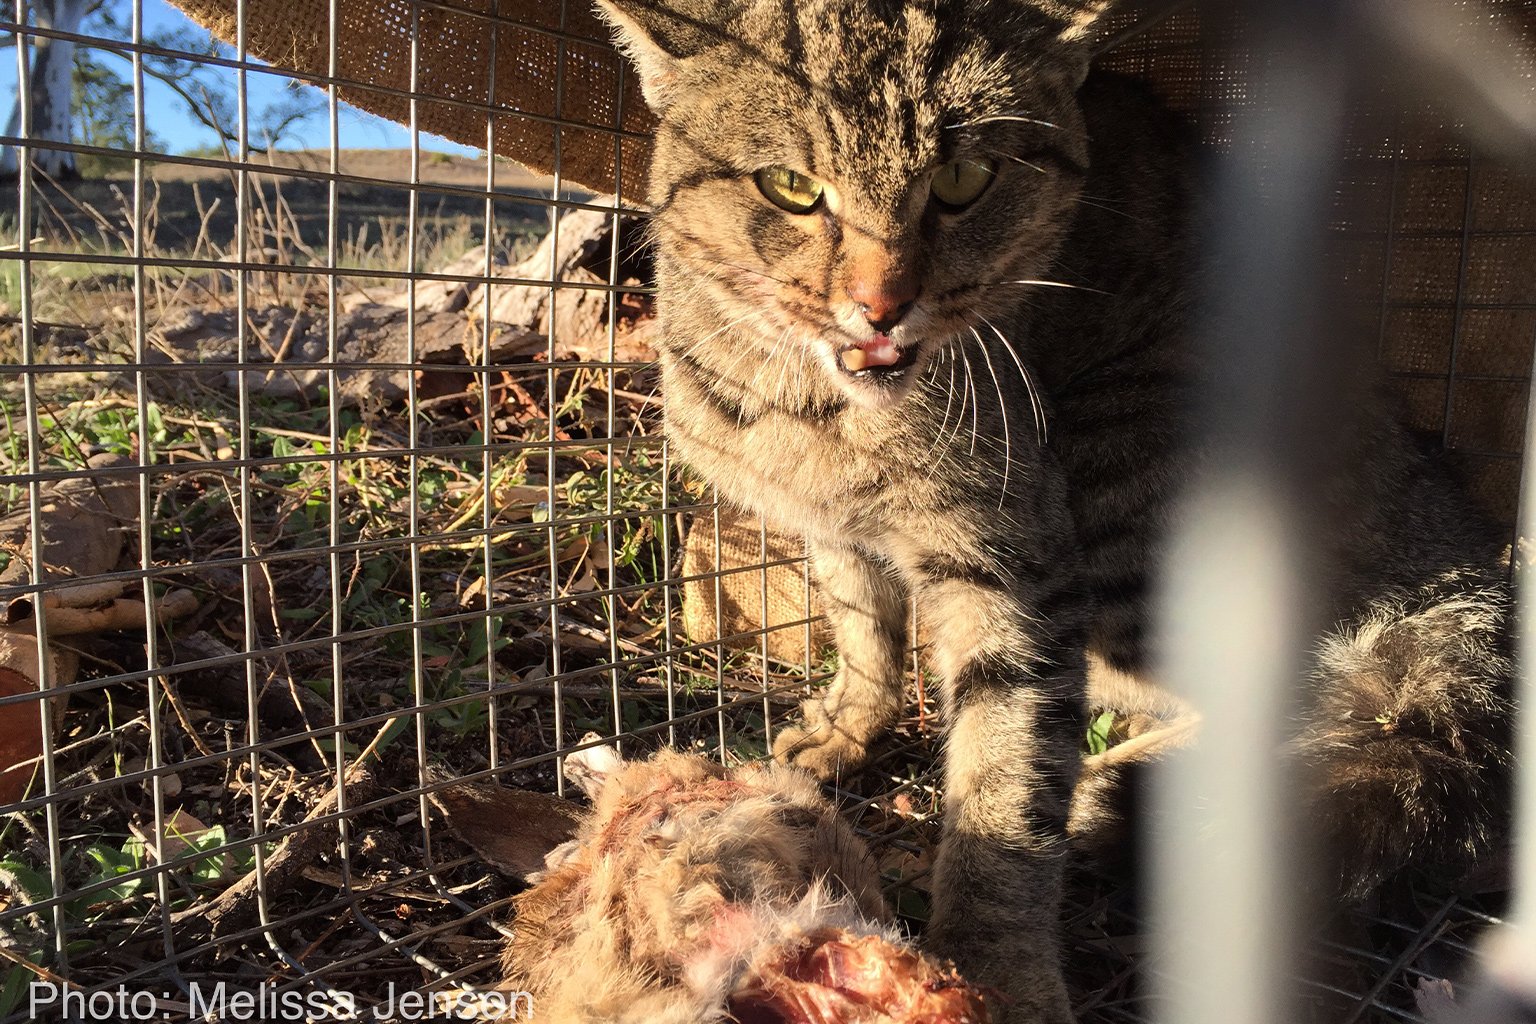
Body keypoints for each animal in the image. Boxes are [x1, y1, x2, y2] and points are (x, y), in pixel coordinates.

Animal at [589, 2, 1511, 1019]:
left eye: (963, 180)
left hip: (1132, 478)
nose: (882, 304)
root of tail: (1444, 521)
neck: (812, 412)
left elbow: (1006, 779)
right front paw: (849, 725)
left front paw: (1000, 965)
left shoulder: (1015, 571)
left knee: (1289, 698)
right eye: (791, 187)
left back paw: (1114, 790)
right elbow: (865, 633)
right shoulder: (838, 534)